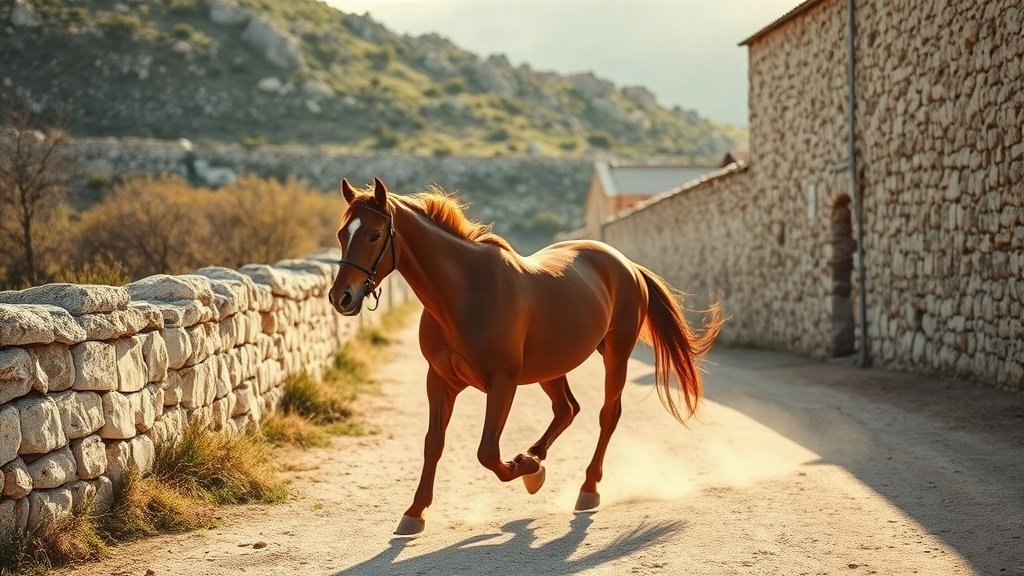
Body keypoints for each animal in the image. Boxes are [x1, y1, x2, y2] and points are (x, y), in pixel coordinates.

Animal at [328, 178, 723, 536]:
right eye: (342, 233)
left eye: (375, 235)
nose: (341, 297)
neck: (465, 293)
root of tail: (625, 264)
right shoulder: (439, 381)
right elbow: (433, 444)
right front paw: (414, 513)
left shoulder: (503, 383)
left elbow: (487, 452)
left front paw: (528, 471)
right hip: (552, 367)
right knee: (567, 409)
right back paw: (536, 456)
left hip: (616, 354)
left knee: (607, 415)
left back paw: (585, 489)